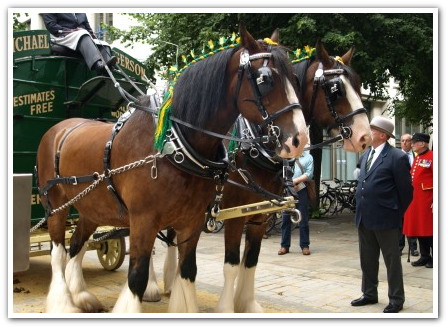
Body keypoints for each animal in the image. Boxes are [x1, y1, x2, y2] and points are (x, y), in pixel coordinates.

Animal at [36, 23, 308, 316]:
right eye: (264, 79)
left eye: (295, 80)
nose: (300, 139)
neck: (175, 144)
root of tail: (58, 128)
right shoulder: (145, 220)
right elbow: (137, 275)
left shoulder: (195, 220)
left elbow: (188, 270)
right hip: (56, 206)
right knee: (58, 251)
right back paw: (64, 303)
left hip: (91, 207)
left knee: (77, 244)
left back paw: (82, 296)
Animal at [147, 36, 372, 312]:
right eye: (335, 89)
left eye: (359, 85)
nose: (364, 136)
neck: (253, 144)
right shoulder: (233, 214)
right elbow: (232, 265)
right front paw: (226, 308)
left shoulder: (259, 215)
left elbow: (251, 261)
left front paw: (247, 304)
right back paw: (152, 286)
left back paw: (171, 284)